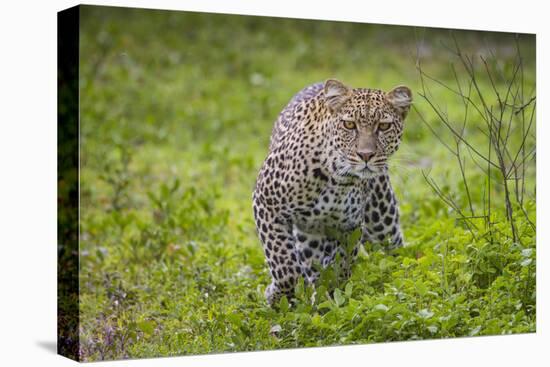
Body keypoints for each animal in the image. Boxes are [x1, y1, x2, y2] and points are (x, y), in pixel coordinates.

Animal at [252, 79, 412, 306]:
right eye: (349, 125)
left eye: (384, 126)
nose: (365, 155)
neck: (337, 179)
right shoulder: (266, 204)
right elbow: (284, 266)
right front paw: (277, 295)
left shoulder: (350, 226)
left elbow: (342, 265)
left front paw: (331, 297)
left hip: (382, 222)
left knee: (393, 249)